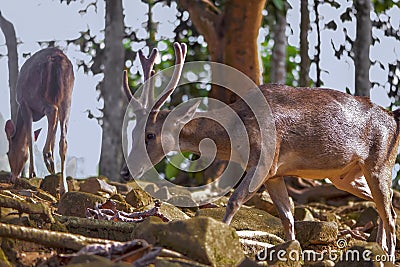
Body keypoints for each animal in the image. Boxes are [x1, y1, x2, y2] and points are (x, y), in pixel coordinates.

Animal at [4, 47, 74, 196]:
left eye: (8, 153)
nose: (13, 177)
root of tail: (57, 59)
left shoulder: (24, 104)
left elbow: (30, 137)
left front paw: (32, 172)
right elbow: (52, 135)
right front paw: (53, 169)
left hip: (37, 95)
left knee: (52, 111)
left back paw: (47, 156)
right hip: (67, 98)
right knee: (63, 139)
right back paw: (63, 187)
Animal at [121, 42, 400, 262]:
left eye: (149, 135)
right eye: (132, 132)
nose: (125, 172)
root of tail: (394, 118)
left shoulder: (265, 160)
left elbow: (234, 200)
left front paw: (220, 239)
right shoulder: (275, 173)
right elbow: (287, 217)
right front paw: (293, 252)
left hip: (381, 162)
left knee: (389, 212)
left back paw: (387, 254)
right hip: (344, 176)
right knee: (384, 206)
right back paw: (379, 247)